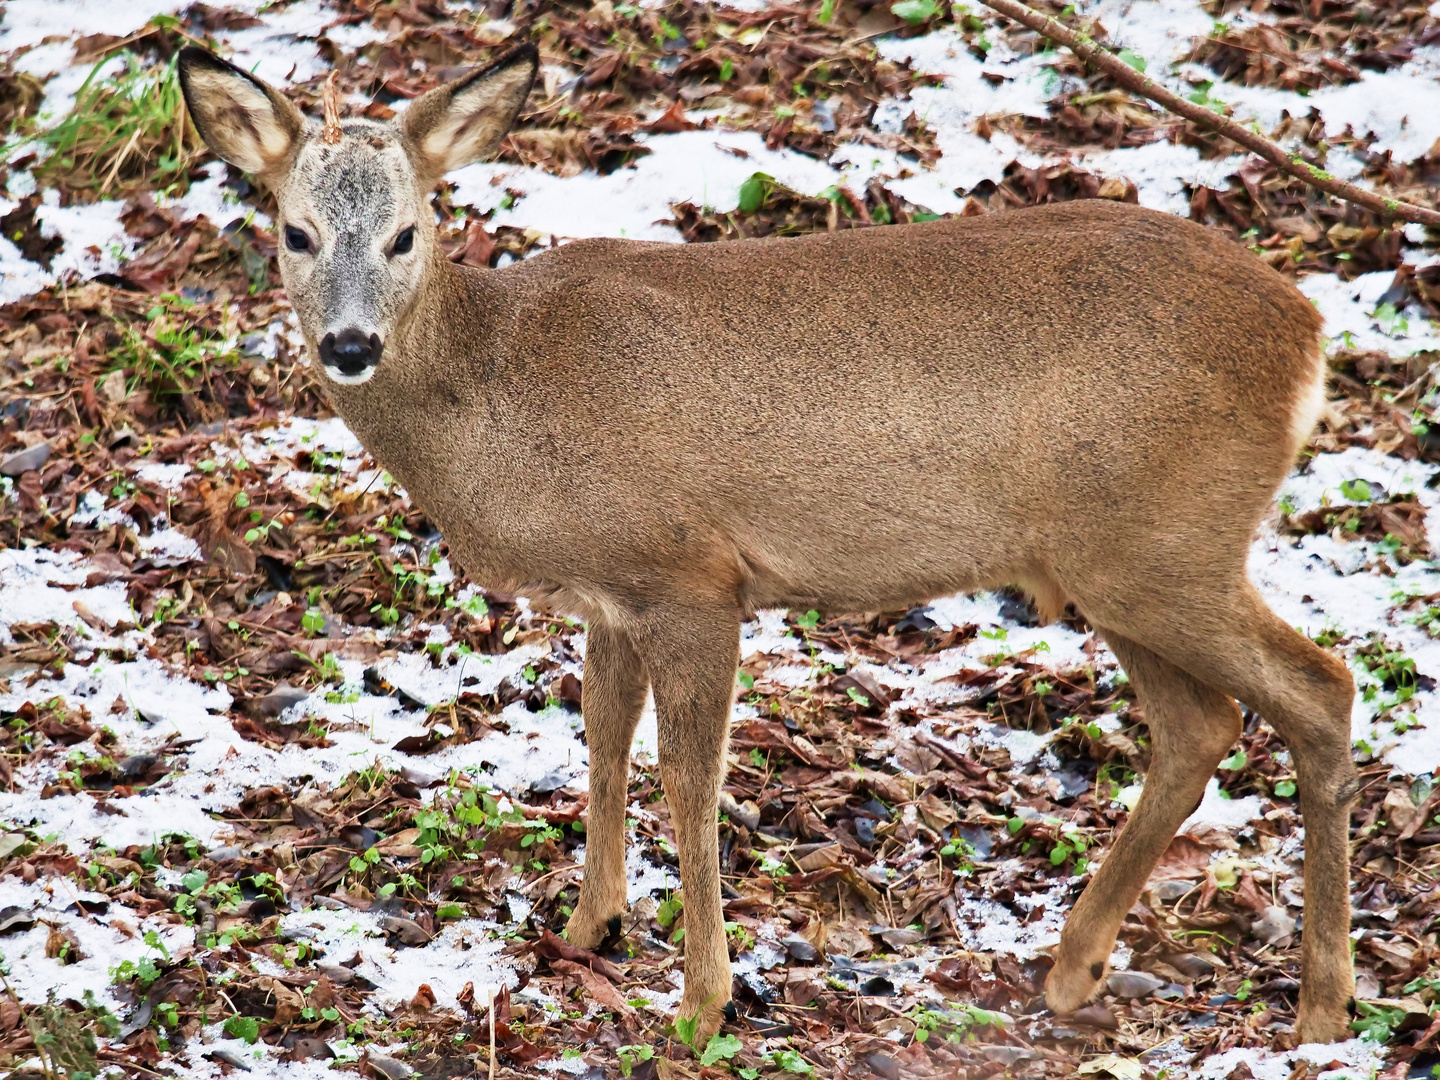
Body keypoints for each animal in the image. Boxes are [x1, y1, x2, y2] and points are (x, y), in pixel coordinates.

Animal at [182, 42, 1359, 1048]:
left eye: (406, 234)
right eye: (294, 232)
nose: (349, 344)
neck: (503, 396)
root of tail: (1307, 332)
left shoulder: (692, 576)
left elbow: (688, 779)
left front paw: (700, 1004)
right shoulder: (611, 596)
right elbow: (601, 743)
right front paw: (586, 930)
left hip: (1162, 542)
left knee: (1319, 688)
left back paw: (1321, 1009)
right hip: (1117, 561)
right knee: (1201, 726)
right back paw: (1076, 969)